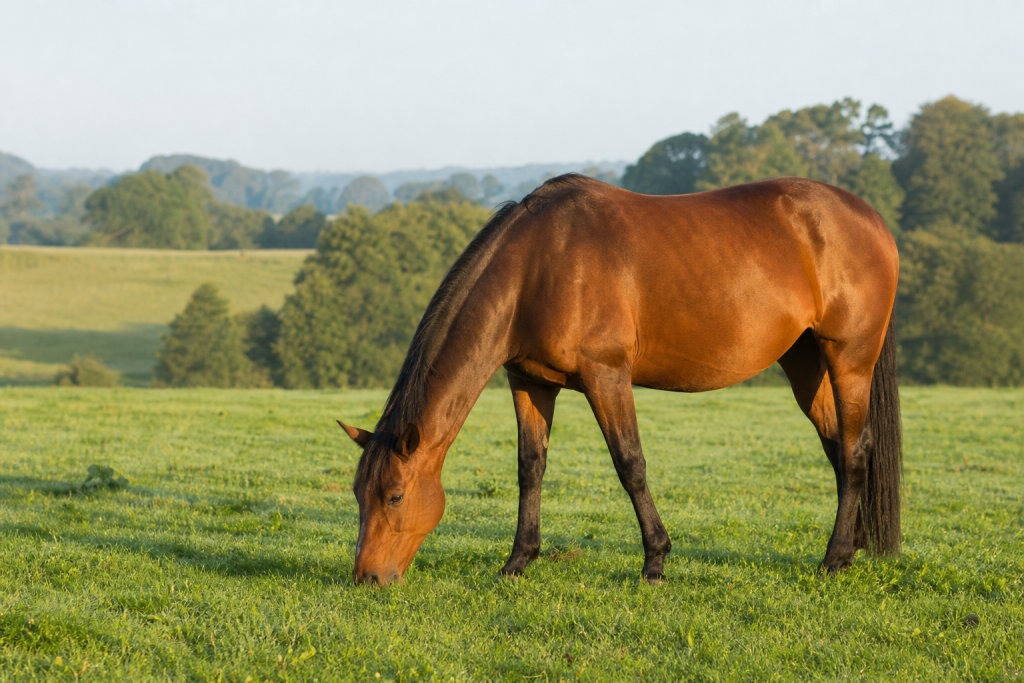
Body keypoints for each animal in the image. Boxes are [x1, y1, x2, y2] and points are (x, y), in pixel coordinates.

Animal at [337, 174, 902, 586]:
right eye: (358, 494)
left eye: (393, 496)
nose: (367, 578)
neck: (538, 264)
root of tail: (871, 218)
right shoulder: (528, 382)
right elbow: (530, 468)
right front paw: (518, 561)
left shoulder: (606, 376)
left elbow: (630, 464)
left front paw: (655, 561)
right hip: (806, 363)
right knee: (838, 448)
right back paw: (850, 548)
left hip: (849, 360)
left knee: (855, 450)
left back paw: (833, 559)